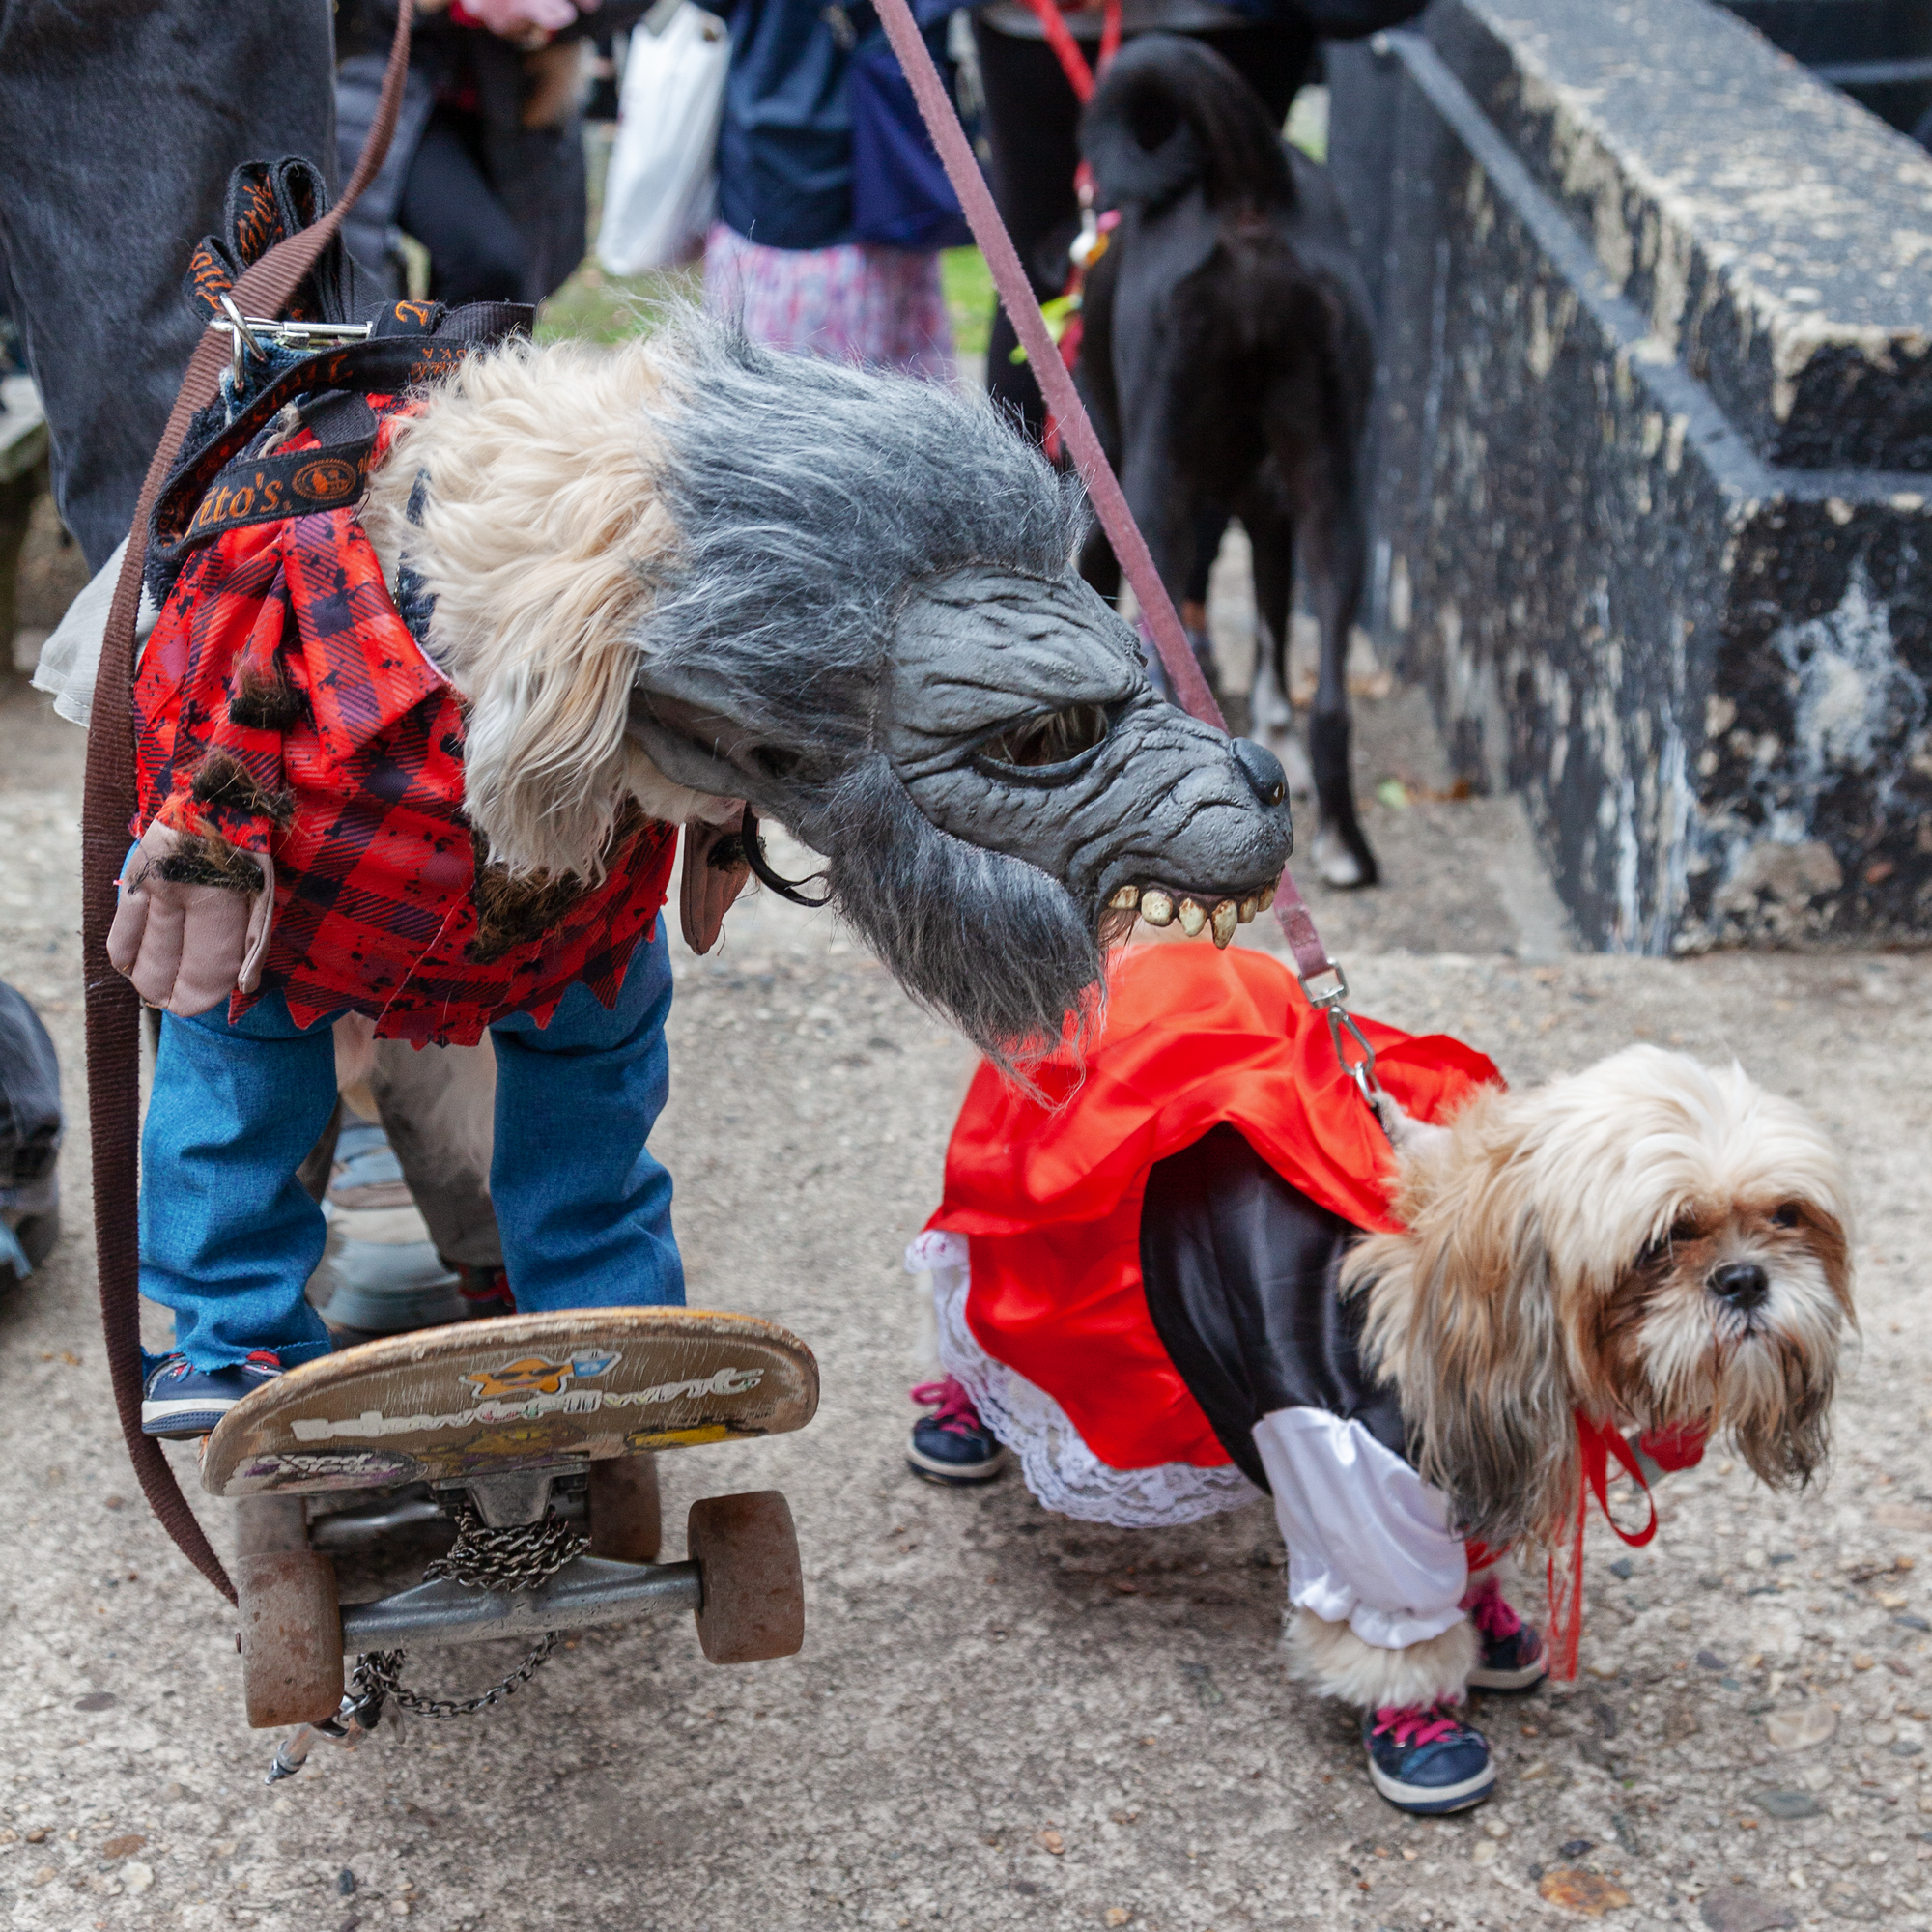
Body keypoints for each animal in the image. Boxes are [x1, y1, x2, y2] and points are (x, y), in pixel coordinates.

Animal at [912, 947, 1847, 1808]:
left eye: (1787, 1216)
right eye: (1664, 1242)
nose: (1744, 1280)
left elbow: (1474, 1556)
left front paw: (1490, 1625)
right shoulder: (1349, 1467)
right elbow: (1393, 1626)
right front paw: (1420, 1724)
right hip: (1054, 1282)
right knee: (980, 1336)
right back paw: (960, 1422)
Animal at [1082, 36, 1383, 889]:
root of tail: (1246, 182)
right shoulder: (1276, 514)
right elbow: (1277, 643)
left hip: (1149, 488)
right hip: (1334, 497)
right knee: (1330, 706)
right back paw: (1345, 846)